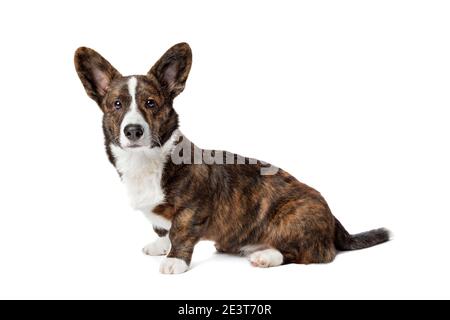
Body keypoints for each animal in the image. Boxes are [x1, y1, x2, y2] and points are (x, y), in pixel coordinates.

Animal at [74, 42, 390, 272]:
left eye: (151, 103)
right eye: (117, 104)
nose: (133, 130)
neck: (146, 160)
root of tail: (333, 217)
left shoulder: (192, 208)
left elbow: (180, 232)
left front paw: (174, 260)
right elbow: (163, 229)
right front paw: (160, 246)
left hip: (294, 218)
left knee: (315, 254)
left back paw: (267, 256)